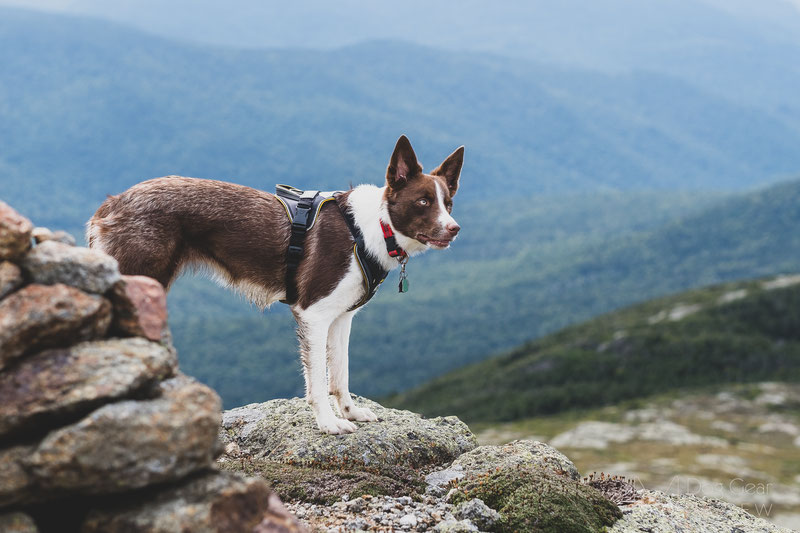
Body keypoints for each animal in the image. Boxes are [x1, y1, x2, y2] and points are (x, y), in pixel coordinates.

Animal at [86, 135, 462, 434]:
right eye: (423, 202)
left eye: (448, 203)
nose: (455, 228)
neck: (373, 227)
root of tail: (111, 203)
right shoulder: (312, 314)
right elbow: (319, 379)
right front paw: (329, 424)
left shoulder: (341, 318)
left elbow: (340, 374)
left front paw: (351, 412)